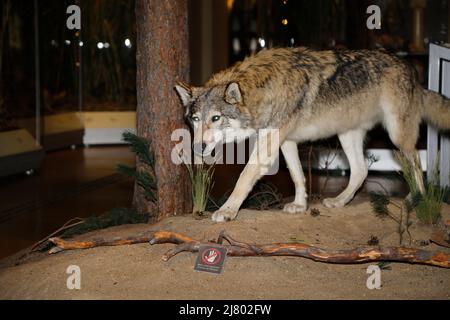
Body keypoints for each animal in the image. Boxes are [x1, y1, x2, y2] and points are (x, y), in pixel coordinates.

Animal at [175, 47, 450, 222]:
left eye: (216, 118)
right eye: (196, 119)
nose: (197, 148)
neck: (265, 87)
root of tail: (412, 72)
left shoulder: (268, 146)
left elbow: (243, 178)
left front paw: (228, 211)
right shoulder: (287, 142)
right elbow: (297, 176)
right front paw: (300, 206)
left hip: (397, 136)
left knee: (416, 165)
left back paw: (416, 200)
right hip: (346, 135)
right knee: (361, 171)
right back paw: (339, 202)